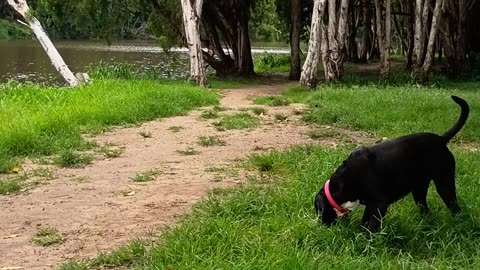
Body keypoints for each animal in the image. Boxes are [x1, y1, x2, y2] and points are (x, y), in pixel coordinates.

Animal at [316, 95, 468, 232]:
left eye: (318, 211)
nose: (321, 226)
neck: (344, 180)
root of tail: (441, 139)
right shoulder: (370, 204)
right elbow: (364, 222)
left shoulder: (380, 204)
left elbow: (372, 226)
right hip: (419, 190)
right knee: (425, 209)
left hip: (445, 185)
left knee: (455, 208)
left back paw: (459, 225)